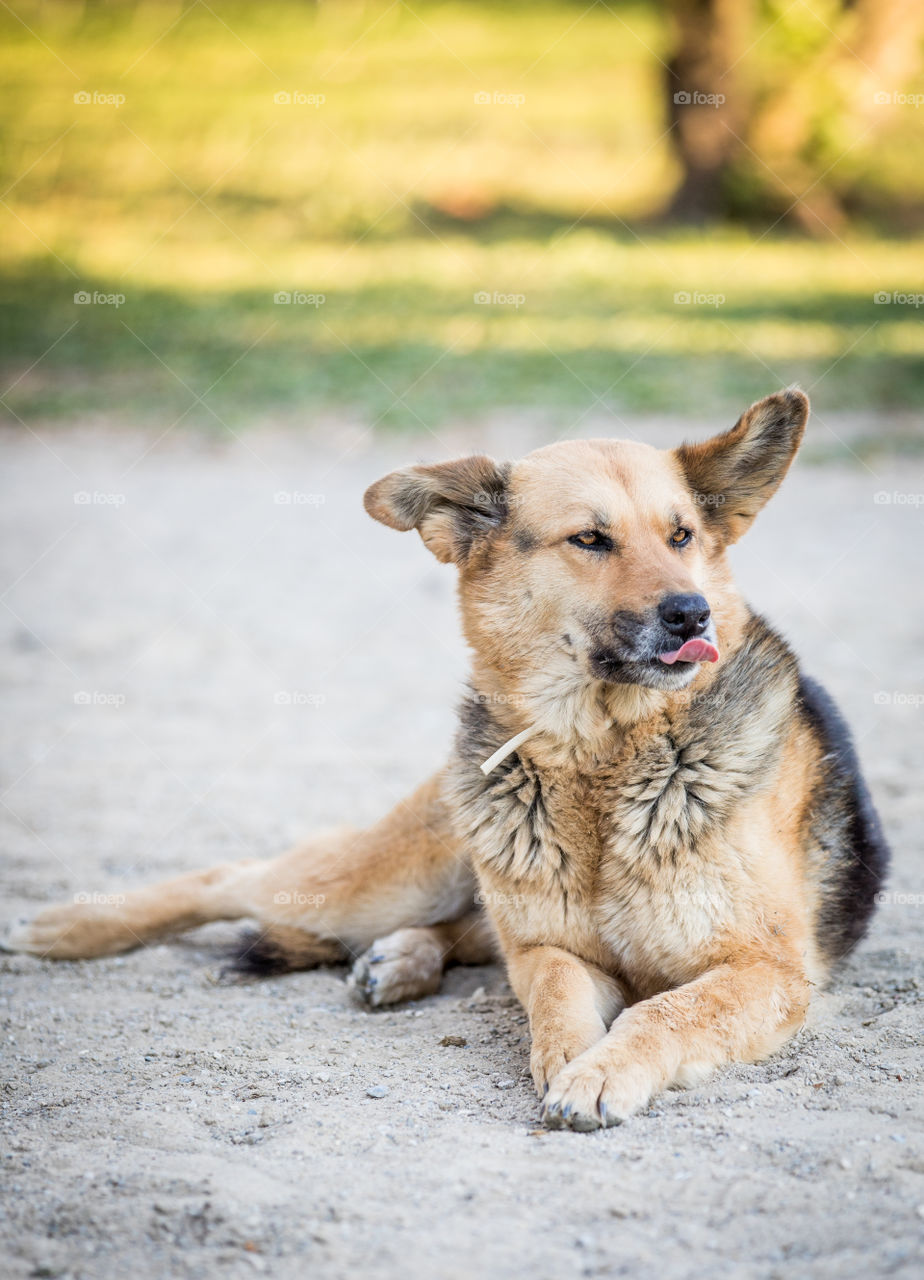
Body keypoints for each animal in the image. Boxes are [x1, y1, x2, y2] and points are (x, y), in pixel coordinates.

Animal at [5, 386, 885, 1131]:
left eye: (682, 537)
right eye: (590, 539)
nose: (690, 613)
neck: (604, 755)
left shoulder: (769, 972)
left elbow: (665, 1008)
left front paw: (602, 1068)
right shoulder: (554, 949)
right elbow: (554, 990)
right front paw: (570, 1055)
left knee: (458, 931)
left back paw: (399, 960)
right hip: (385, 878)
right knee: (234, 879)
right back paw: (69, 926)